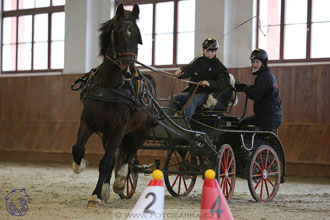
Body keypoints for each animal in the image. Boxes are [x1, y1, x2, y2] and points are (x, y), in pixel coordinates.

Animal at [71, 3, 156, 208]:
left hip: (141, 131)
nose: (129, 72)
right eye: (117, 34)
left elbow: (106, 162)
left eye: (137, 36)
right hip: (108, 135)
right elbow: (78, 150)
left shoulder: (119, 127)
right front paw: (83, 166)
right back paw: (107, 189)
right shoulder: (88, 122)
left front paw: (95, 196)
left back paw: (120, 181)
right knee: (119, 154)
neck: (109, 86)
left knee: (130, 153)